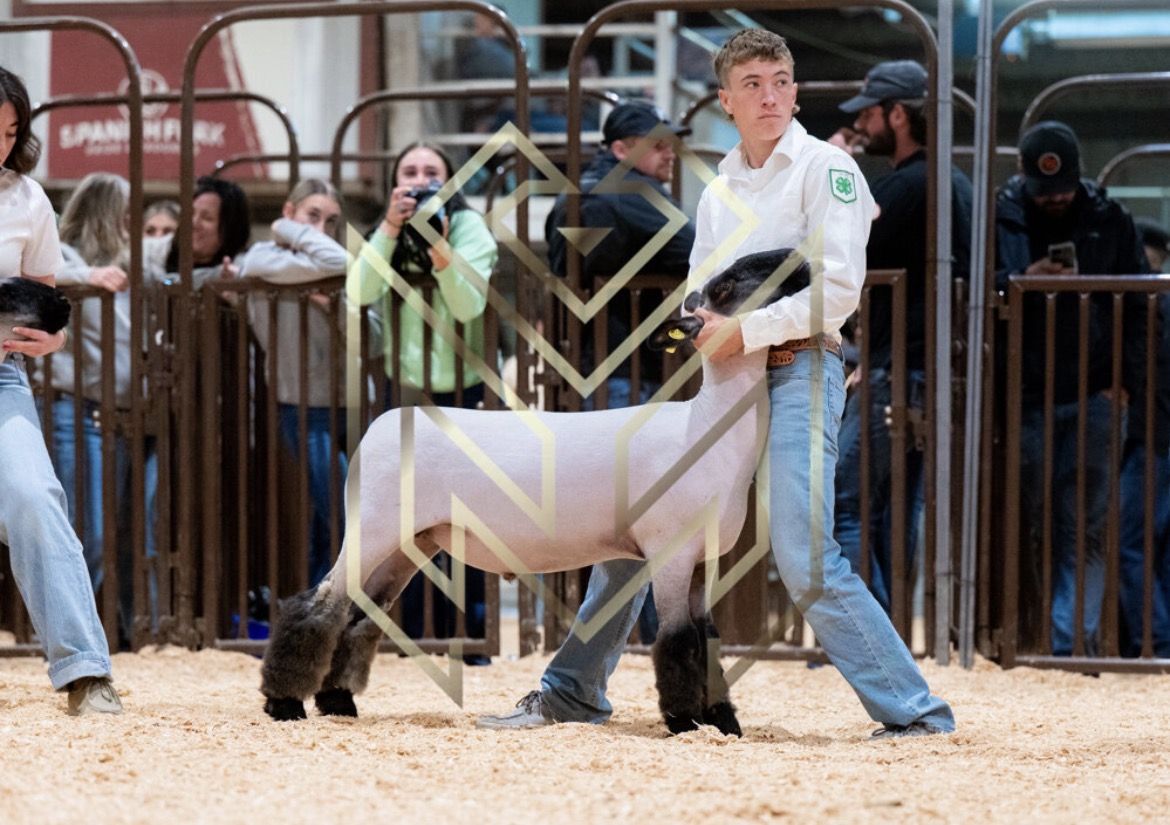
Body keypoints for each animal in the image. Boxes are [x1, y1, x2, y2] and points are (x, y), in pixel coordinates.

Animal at [260, 247, 811, 735]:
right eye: (727, 285)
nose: (801, 260)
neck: (707, 427)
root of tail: (380, 424)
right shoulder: (670, 551)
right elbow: (678, 642)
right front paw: (683, 721)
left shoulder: (701, 560)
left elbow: (707, 640)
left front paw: (723, 721)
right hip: (373, 526)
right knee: (318, 604)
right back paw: (284, 703)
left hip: (409, 542)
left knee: (357, 617)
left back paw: (337, 701)